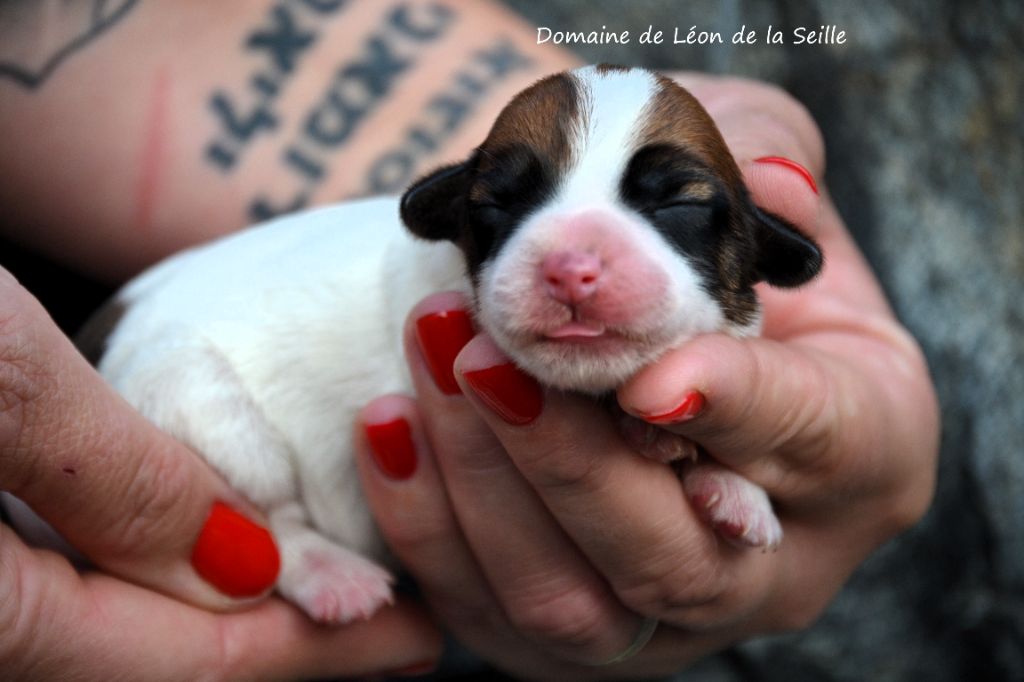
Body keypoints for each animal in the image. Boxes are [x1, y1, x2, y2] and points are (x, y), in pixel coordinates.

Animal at [77, 65, 823, 622]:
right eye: (495, 205)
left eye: (678, 204)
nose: (570, 267)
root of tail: (104, 330)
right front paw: (662, 444)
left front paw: (729, 484)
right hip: (197, 402)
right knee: (263, 519)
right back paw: (332, 574)